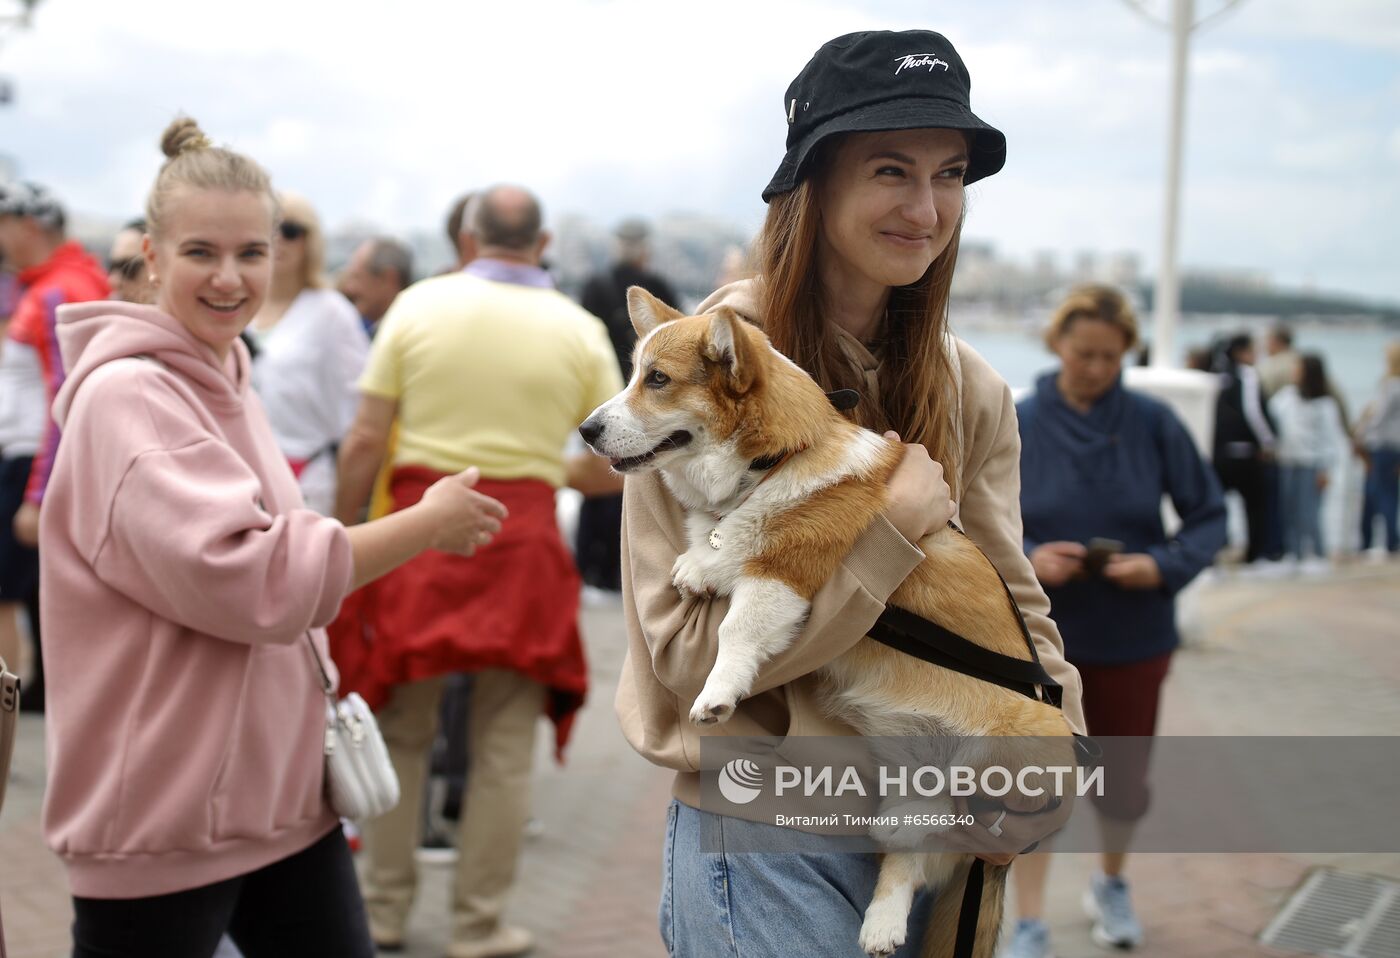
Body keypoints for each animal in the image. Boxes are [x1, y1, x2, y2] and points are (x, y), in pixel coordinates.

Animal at [579, 289, 1069, 958]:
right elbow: (718, 553)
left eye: (657, 380)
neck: (774, 462)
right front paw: (701, 565)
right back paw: (881, 926)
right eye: (634, 375)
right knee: (907, 863)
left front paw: (716, 693)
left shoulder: (785, 576)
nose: (585, 430)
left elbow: (736, 631)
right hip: (911, 804)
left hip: (1008, 756)